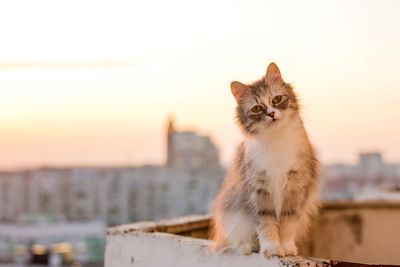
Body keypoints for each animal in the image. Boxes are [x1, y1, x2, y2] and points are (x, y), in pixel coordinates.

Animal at [211, 63, 320, 260]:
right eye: (257, 108)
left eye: (276, 99)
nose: (271, 114)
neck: (276, 139)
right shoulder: (259, 189)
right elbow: (266, 224)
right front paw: (271, 249)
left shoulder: (294, 187)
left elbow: (287, 224)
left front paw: (286, 248)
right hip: (231, 215)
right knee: (234, 240)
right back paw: (245, 247)